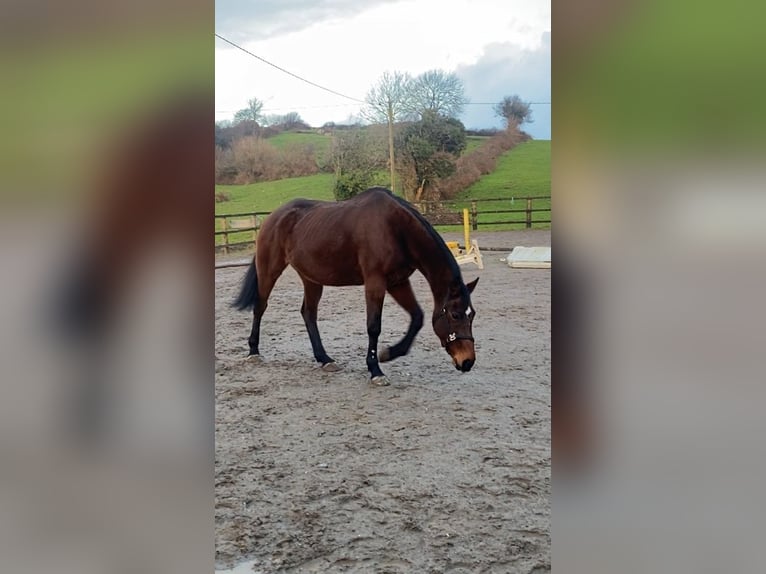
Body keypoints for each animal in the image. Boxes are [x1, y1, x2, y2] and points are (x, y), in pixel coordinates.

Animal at [234, 188, 480, 388]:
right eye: (456, 314)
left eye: (472, 315)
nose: (467, 361)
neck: (395, 228)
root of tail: (272, 217)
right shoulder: (375, 282)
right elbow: (373, 326)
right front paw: (375, 369)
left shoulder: (397, 282)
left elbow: (417, 317)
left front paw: (388, 353)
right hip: (269, 270)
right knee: (261, 306)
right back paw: (253, 351)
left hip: (311, 279)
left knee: (308, 314)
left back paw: (325, 359)